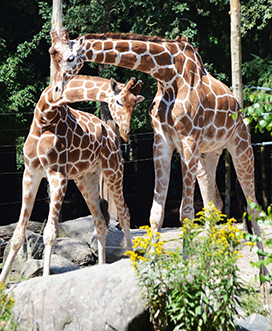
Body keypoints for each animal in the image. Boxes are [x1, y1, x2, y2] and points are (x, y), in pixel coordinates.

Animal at [0, 74, 144, 282]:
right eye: (118, 101)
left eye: (134, 106)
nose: (126, 133)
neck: (46, 115)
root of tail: (112, 136)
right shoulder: (30, 172)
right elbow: (18, 233)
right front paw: (3, 282)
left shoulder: (57, 174)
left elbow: (50, 233)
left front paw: (45, 279)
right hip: (86, 178)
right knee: (100, 222)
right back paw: (101, 267)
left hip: (113, 168)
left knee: (124, 212)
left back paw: (131, 259)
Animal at [48, 27, 266, 256]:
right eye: (52, 54)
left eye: (71, 58)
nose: (56, 91)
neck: (168, 76)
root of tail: (239, 107)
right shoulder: (161, 141)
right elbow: (156, 212)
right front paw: (153, 259)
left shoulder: (188, 139)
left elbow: (186, 212)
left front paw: (185, 260)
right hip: (208, 154)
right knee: (214, 202)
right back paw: (214, 253)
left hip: (241, 145)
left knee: (252, 206)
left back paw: (260, 263)